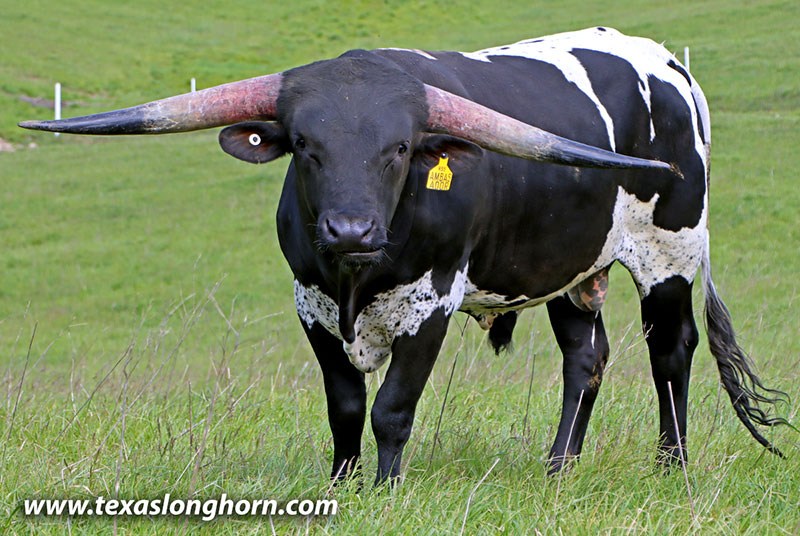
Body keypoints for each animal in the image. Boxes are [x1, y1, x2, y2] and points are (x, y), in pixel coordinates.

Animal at [21, 27, 787, 485]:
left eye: (399, 149)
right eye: (305, 146)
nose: (350, 230)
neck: (356, 278)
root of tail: (667, 63)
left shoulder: (433, 303)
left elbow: (392, 407)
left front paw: (387, 491)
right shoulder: (310, 306)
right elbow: (343, 406)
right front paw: (343, 485)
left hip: (669, 255)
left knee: (671, 353)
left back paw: (670, 467)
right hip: (568, 265)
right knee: (585, 358)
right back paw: (557, 468)